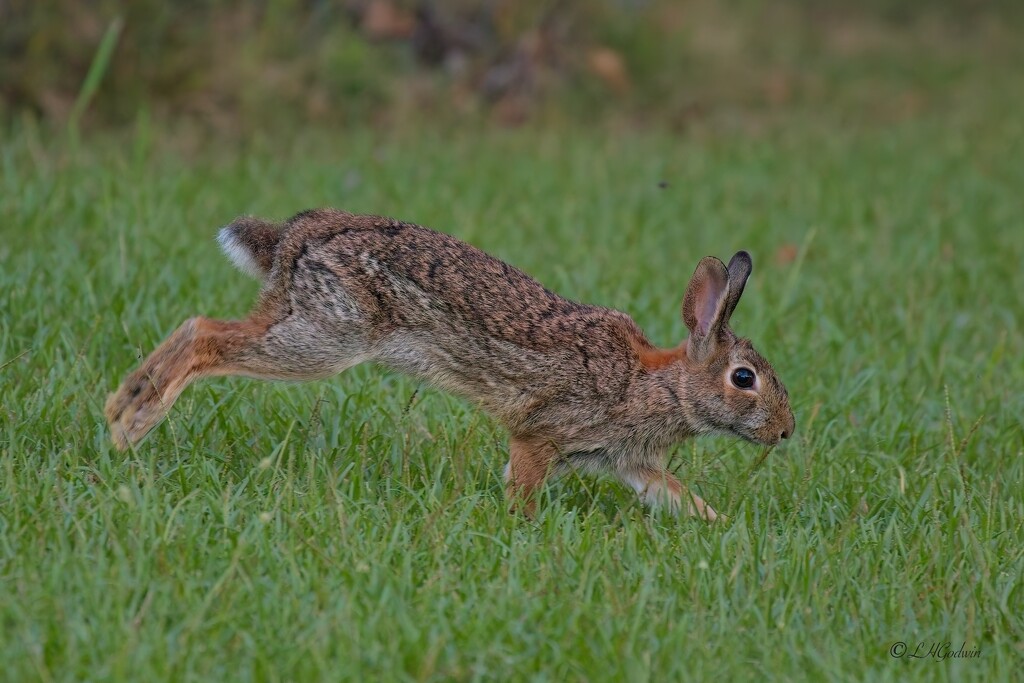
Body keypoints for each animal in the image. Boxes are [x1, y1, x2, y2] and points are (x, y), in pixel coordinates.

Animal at [105, 206, 790, 518]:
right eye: (744, 378)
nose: (785, 433)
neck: (661, 384)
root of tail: (297, 236)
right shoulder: (540, 434)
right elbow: (524, 484)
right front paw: (521, 529)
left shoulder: (631, 465)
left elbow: (678, 498)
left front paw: (721, 529)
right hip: (324, 337)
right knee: (205, 337)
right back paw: (132, 427)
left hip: (300, 320)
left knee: (199, 326)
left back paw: (119, 412)